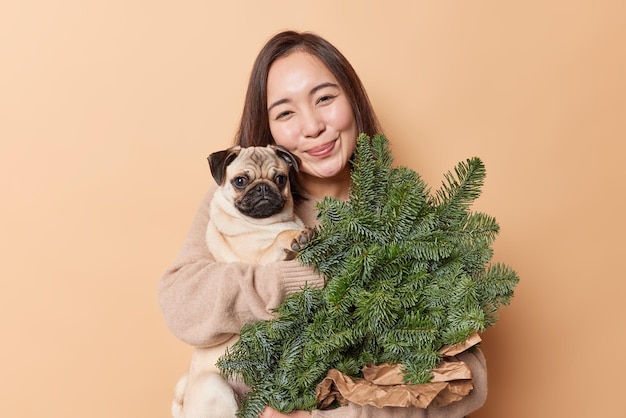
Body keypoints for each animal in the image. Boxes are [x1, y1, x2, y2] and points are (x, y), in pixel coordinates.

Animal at [171, 145, 314, 418]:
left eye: (280, 178)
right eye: (240, 181)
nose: (263, 188)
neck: (270, 223)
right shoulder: (259, 261)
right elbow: (279, 239)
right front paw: (294, 236)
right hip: (216, 386)